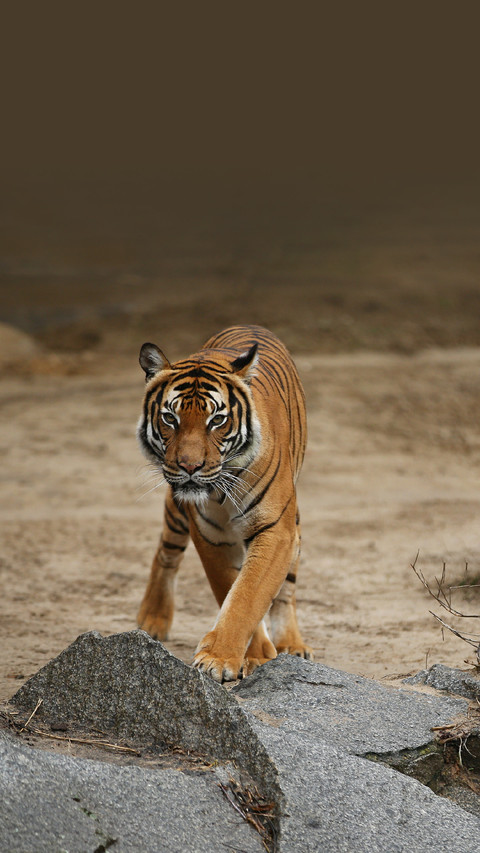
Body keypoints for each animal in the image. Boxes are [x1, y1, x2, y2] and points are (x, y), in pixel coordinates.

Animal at [136, 324, 313, 682]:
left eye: (216, 420)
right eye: (170, 418)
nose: (190, 466)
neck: (221, 488)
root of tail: (248, 324)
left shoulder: (277, 530)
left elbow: (249, 594)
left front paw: (219, 659)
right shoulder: (210, 535)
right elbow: (230, 588)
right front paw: (253, 655)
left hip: (295, 525)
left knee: (287, 588)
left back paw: (292, 644)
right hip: (177, 511)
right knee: (166, 553)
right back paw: (152, 618)